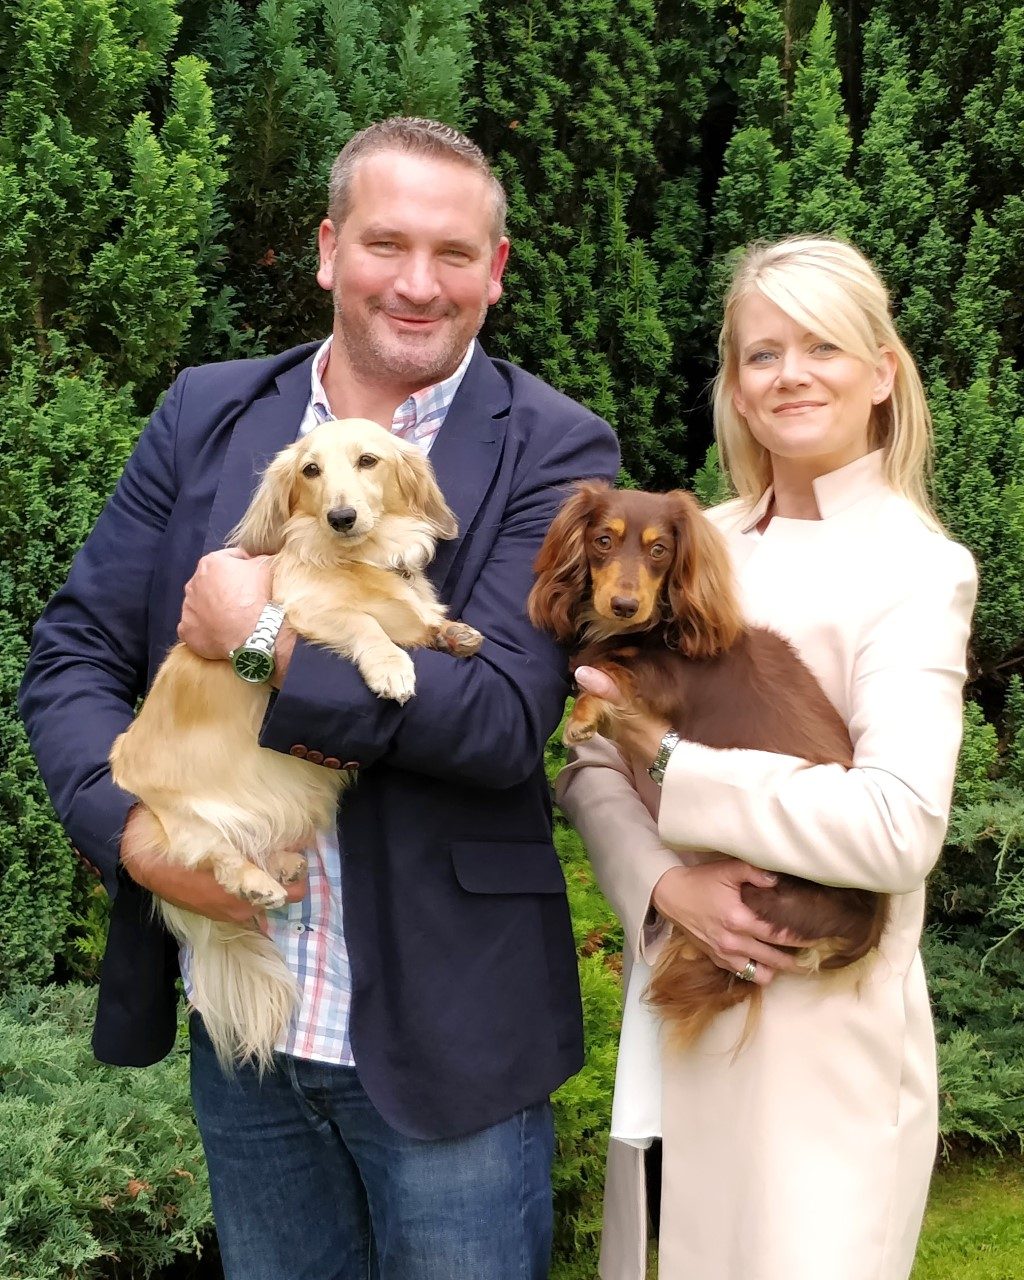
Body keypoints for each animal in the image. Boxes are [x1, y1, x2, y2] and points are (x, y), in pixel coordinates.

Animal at [110, 418, 483, 1071]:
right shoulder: (307, 610)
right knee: (212, 854)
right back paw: (252, 880)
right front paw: (391, 666)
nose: (340, 516)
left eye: (368, 461)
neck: (360, 558)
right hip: (171, 822)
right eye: (310, 470)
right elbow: (367, 624)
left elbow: (421, 621)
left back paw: (279, 863)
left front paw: (449, 633)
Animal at [528, 480, 888, 1045]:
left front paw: (583, 715)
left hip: (764, 896)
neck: (654, 629)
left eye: (659, 550)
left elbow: (608, 667)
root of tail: (867, 929)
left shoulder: (667, 678)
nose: (625, 604)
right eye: (603, 540)